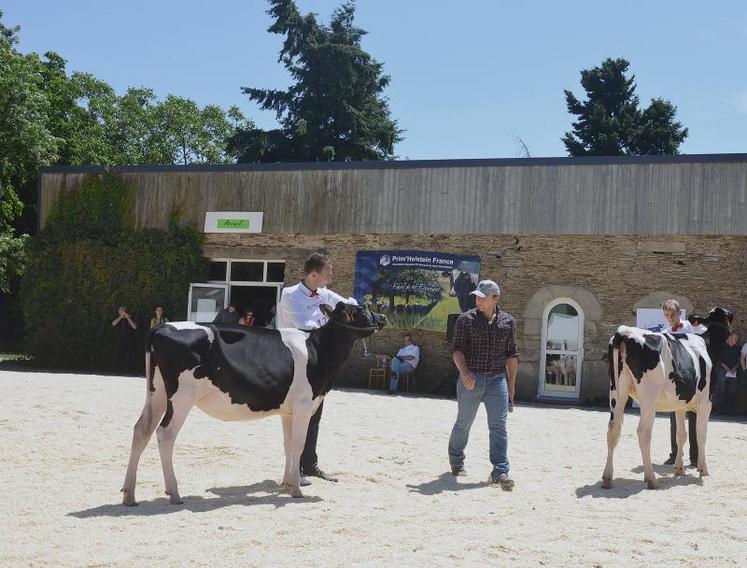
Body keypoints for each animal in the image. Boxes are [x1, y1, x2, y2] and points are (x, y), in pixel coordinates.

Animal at [122, 300, 386, 504]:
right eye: (361, 310)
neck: (319, 350)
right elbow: (298, 445)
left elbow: (287, 444)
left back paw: (129, 494)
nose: (383, 316)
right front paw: (296, 489)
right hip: (181, 397)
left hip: (157, 393)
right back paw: (174, 492)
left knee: (141, 429)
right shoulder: (303, 405)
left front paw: (287, 482)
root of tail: (163, 327)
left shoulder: (288, 411)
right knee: (165, 434)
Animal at [604, 306, 732, 488]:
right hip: (648, 395)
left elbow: (681, 435)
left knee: (612, 430)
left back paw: (607, 477)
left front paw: (679, 468)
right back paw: (651, 478)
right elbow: (701, 434)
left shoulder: (680, 405)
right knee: (644, 432)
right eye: (729, 317)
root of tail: (625, 331)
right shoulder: (707, 402)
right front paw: (703, 469)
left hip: (616, 391)